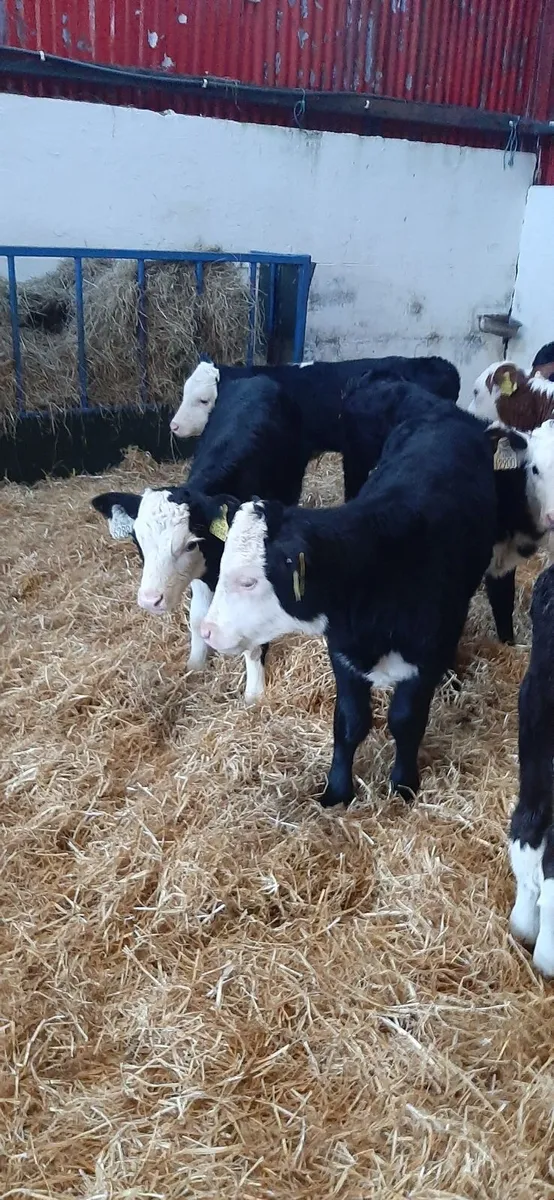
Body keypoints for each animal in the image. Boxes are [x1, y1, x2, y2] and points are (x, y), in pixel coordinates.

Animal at [92, 375, 311, 705]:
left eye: (190, 543)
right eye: (139, 543)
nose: (150, 601)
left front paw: (254, 694)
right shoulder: (200, 573)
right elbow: (197, 617)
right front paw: (195, 664)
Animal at [199, 403, 496, 808]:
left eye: (249, 580)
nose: (207, 631)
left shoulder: (425, 654)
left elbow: (406, 721)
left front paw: (403, 785)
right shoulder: (342, 652)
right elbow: (349, 722)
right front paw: (337, 790)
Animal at [342, 375, 554, 645]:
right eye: (534, 469)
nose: (553, 517)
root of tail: (373, 378)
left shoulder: (503, 564)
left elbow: (503, 604)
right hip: (354, 466)